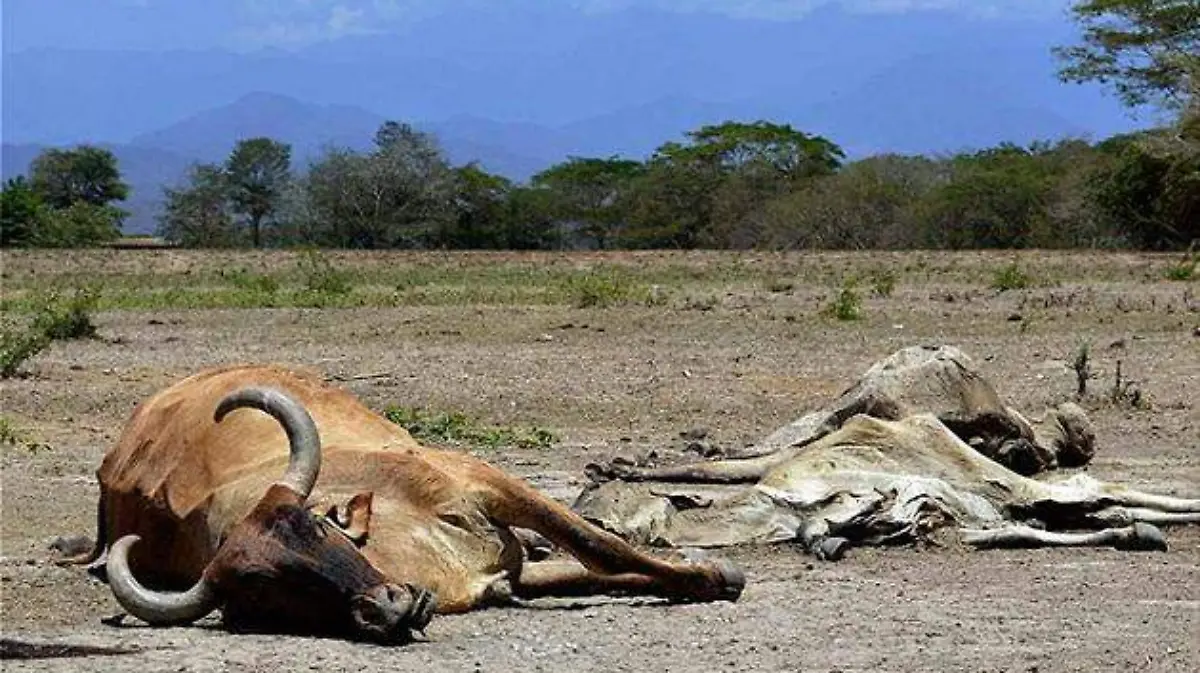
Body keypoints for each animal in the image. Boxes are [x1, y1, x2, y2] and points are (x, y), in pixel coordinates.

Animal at [65, 364, 744, 643]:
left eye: (318, 529)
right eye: (259, 591)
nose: (388, 607)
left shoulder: (487, 483)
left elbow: (600, 547)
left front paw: (715, 576)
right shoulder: (507, 581)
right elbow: (592, 568)